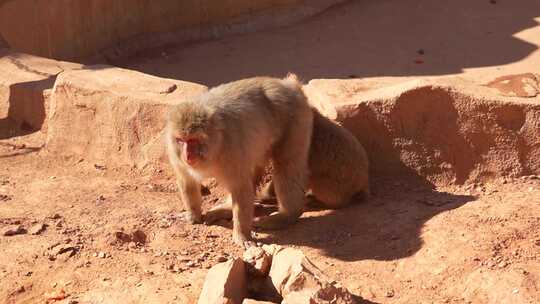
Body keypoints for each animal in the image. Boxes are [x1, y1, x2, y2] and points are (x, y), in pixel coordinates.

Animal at [167, 74, 314, 247]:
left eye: (193, 140)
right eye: (180, 140)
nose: (187, 155)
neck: (216, 144)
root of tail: (289, 85)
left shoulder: (231, 150)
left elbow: (241, 188)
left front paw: (242, 235)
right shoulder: (175, 155)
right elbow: (186, 180)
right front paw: (193, 215)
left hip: (296, 120)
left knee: (287, 165)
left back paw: (287, 215)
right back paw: (226, 208)